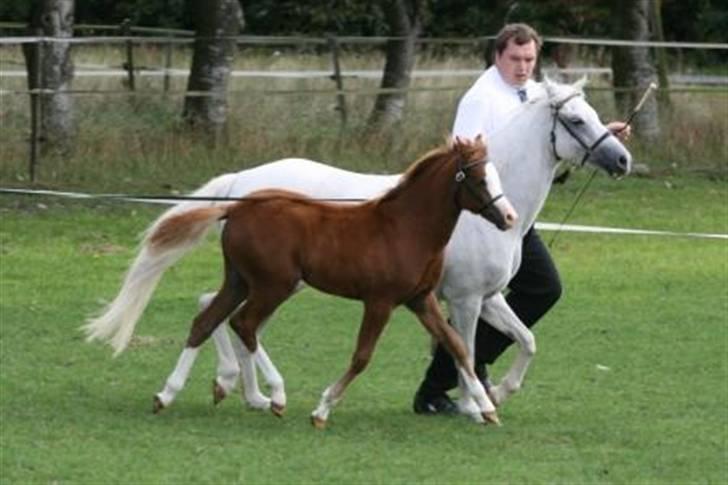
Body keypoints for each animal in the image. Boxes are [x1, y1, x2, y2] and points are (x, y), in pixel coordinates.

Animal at [85, 136, 518, 427]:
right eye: (479, 178)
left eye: (496, 174)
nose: (510, 218)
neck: (404, 228)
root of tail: (235, 207)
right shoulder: (379, 301)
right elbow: (362, 356)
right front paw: (322, 409)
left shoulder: (420, 299)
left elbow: (458, 346)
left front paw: (487, 408)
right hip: (273, 285)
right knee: (243, 324)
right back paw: (274, 395)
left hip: (241, 280)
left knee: (207, 321)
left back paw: (168, 394)